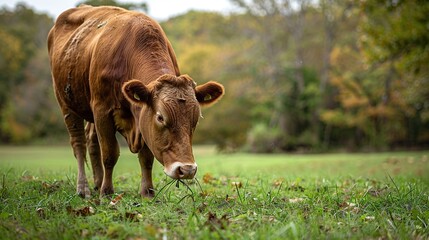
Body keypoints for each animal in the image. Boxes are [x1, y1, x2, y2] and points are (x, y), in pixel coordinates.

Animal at [47, 5, 224, 199]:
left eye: (196, 119)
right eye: (161, 117)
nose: (187, 169)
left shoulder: (142, 118)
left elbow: (146, 158)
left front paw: (147, 192)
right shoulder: (102, 110)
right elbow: (109, 153)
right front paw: (107, 192)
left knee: (92, 140)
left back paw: (97, 182)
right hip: (66, 103)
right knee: (78, 143)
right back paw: (83, 188)